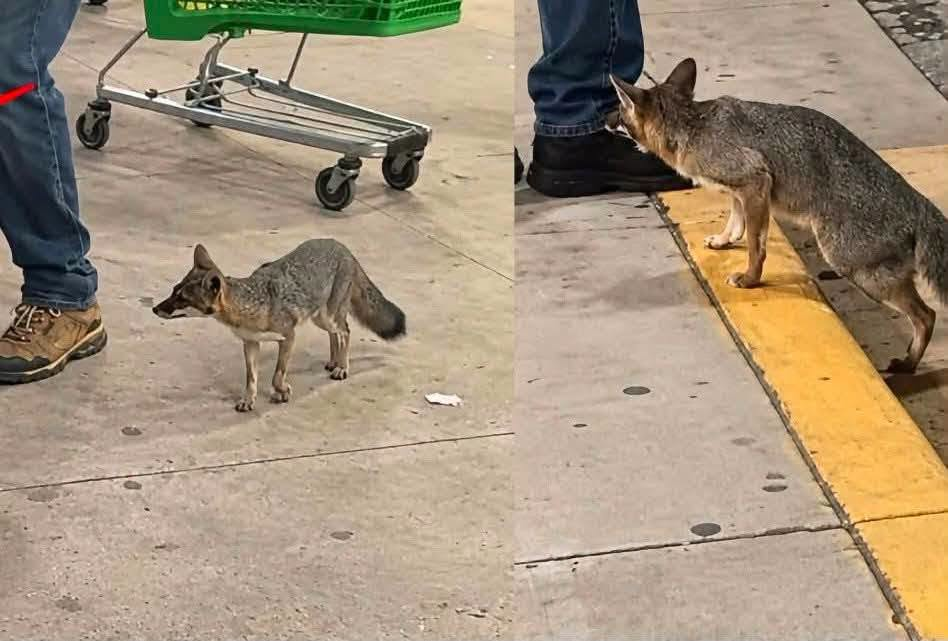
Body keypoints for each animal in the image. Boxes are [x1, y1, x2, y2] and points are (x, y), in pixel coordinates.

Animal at [153, 239, 406, 411]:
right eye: (174, 291)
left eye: (182, 299)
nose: (155, 309)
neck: (256, 303)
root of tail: (342, 247)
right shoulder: (251, 343)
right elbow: (251, 378)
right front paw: (248, 400)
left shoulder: (288, 337)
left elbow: (277, 375)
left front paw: (282, 392)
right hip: (319, 318)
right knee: (336, 335)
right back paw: (334, 361)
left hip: (328, 316)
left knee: (346, 331)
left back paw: (342, 367)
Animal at [610, 58, 948, 374]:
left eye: (618, 109)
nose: (603, 119)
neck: (695, 126)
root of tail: (918, 201)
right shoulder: (741, 190)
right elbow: (736, 222)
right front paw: (723, 240)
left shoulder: (755, 182)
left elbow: (755, 245)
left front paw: (750, 279)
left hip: (853, 266)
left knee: (926, 315)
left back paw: (908, 364)